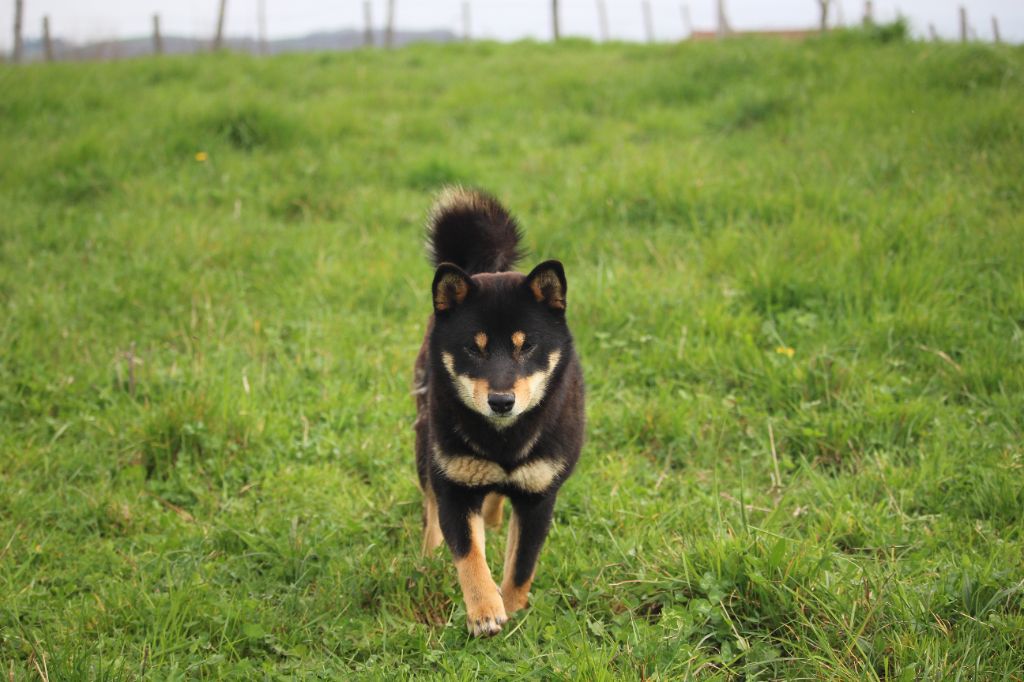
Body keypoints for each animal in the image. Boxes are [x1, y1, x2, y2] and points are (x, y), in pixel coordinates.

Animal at [409, 184, 585, 630]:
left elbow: (522, 564)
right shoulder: (454, 483)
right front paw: (486, 611)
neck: (504, 440)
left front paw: (514, 608)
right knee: (431, 508)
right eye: (475, 348)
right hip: (425, 441)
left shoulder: (539, 496)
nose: (502, 401)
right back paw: (429, 559)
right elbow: (469, 553)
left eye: (527, 347)